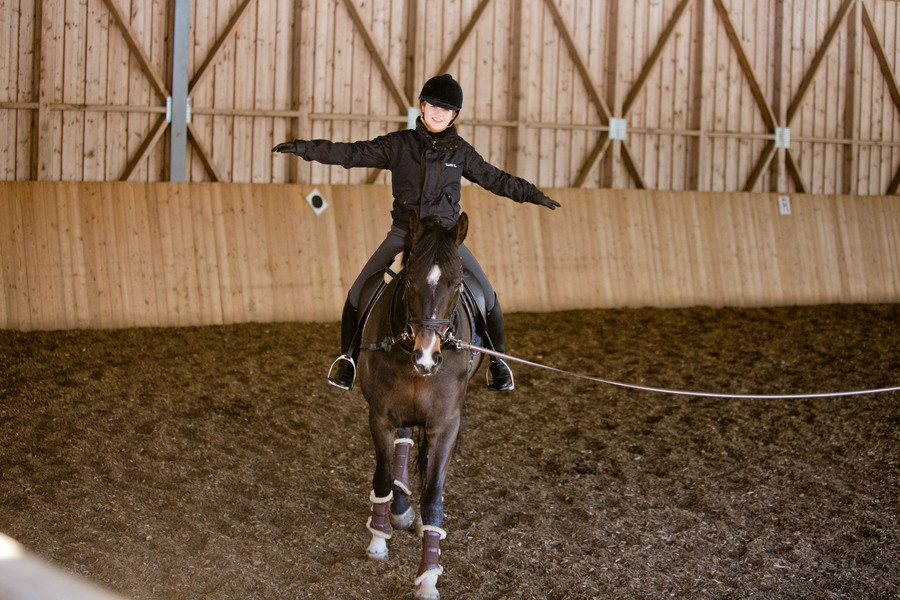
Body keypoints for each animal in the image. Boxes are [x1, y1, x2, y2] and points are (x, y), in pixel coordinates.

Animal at [358, 212, 486, 600]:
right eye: (410, 280)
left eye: (456, 283)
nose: (426, 357)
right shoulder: (380, 415)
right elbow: (383, 477)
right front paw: (379, 541)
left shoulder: (445, 425)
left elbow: (433, 498)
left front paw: (429, 576)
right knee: (403, 444)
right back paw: (399, 510)